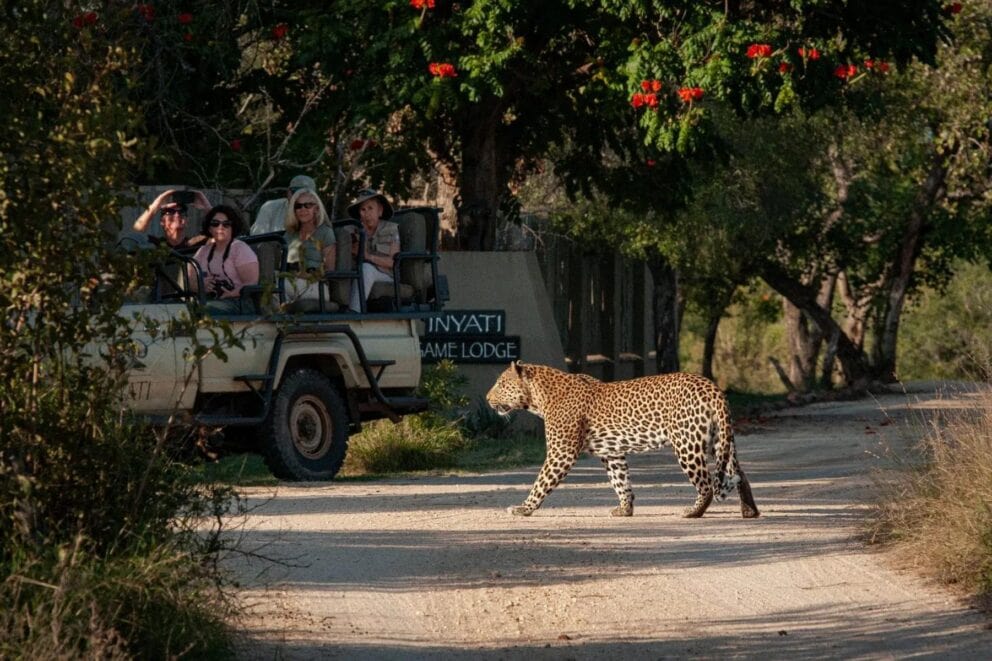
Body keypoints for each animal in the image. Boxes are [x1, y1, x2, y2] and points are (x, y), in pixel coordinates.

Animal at [485, 361, 759, 519]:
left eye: (500, 383)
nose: (487, 399)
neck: (538, 399)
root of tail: (712, 387)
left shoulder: (561, 452)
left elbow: (541, 482)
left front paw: (524, 508)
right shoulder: (612, 453)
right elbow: (620, 481)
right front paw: (625, 509)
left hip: (687, 444)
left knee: (707, 484)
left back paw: (692, 512)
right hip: (719, 439)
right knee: (738, 473)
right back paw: (749, 511)